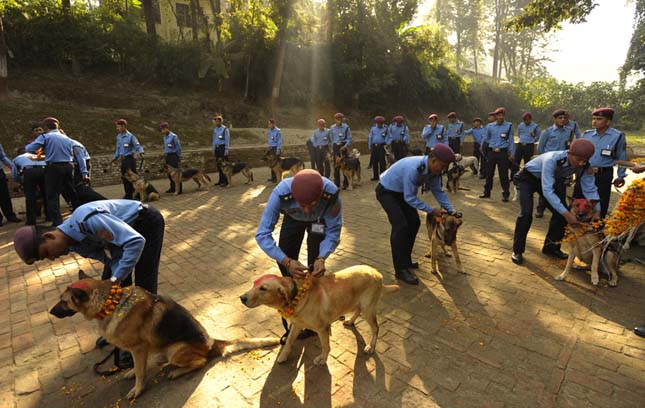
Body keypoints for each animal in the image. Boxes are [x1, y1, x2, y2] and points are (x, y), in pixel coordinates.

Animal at [50, 270, 280, 400]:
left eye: (63, 301)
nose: (51, 312)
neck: (112, 303)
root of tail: (211, 342)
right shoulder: (137, 350)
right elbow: (137, 367)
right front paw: (131, 372)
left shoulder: (138, 348)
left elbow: (141, 373)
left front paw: (138, 390)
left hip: (175, 350)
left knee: (200, 362)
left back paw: (176, 371)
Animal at [240, 266, 398, 364]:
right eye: (254, 284)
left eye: (263, 288)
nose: (242, 298)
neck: (298, 296)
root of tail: (377, 272)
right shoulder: (296, 325)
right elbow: (289, 341)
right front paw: (284, 355)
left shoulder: (322, 329)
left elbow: (325, 346)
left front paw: (322, 359)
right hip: (359, 304)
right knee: (357, 311)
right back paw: (350, 321)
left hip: (368, 309)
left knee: (376, 328)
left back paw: (371, 346)